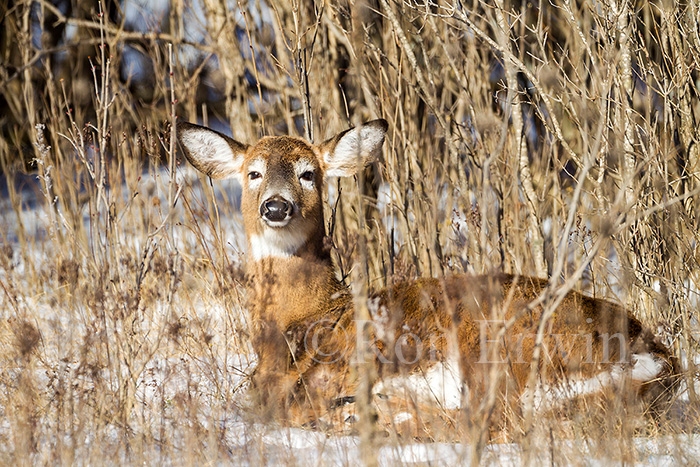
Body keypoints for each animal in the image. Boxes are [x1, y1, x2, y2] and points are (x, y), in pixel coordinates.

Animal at [179, 119, 680, 436]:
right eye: (253, 172)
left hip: (497, 344)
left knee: (497, 420)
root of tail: (659, 357)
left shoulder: (330, 373)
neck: (302, 319)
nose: (276, 206)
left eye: (308, 174)